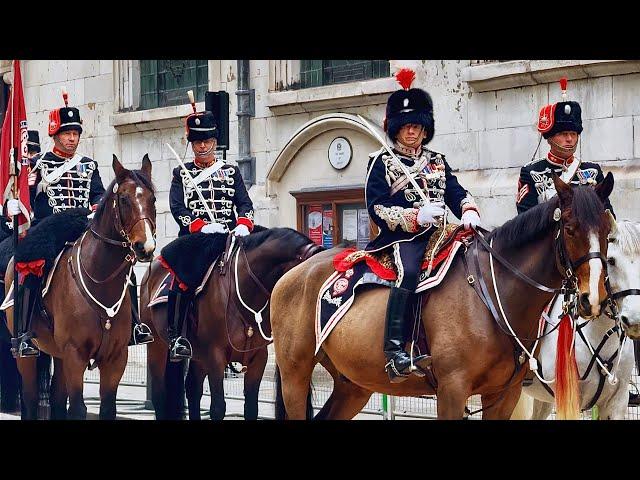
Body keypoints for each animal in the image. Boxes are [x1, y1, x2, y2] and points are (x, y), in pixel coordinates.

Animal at [3, 156, 156, 418]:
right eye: (124, 199)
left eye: (153, 198)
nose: (145, 247)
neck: (101, 279)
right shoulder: (75, 354)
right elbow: (77, 408)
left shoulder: (116, 357)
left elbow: (107, 407)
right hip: (28, 354)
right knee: (30, 399)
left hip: (59, 354)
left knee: (56, 400)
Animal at [140, 227, 320, 418]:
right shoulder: (215, 356)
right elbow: (218, 408)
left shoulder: (258, 358)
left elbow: (251, 408)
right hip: (157, 346)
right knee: (160, 395)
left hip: (198, 355)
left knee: (193, 388)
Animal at [270, 174, 616, 418]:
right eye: (569, 228)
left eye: (607, 230)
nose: (593, 299)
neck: (491, 294)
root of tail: (294, 274)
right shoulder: (452, 390)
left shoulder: (504, 395)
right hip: (295, 375)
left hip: (352, 384)